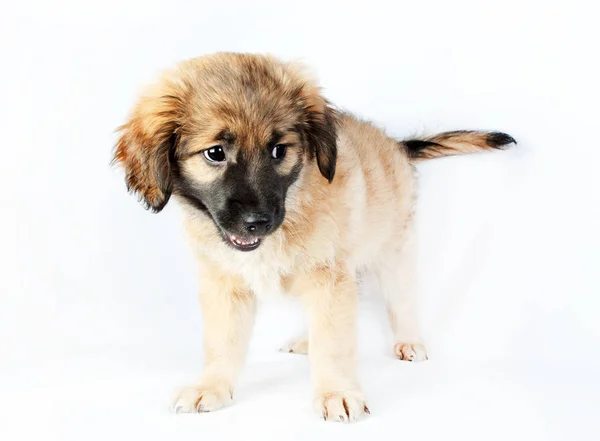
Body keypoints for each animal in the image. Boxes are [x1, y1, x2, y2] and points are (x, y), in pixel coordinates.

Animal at [112, 53, 516, 422]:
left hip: (392, 249)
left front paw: (336, 392)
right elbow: (222, 342)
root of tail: (395, 145)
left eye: (279, 150)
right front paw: (210, 386)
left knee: (401, 300)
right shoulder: (226, 283)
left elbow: (334, 342)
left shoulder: (329, 275)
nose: (258, 222)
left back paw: (409, 341)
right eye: (215, 153)